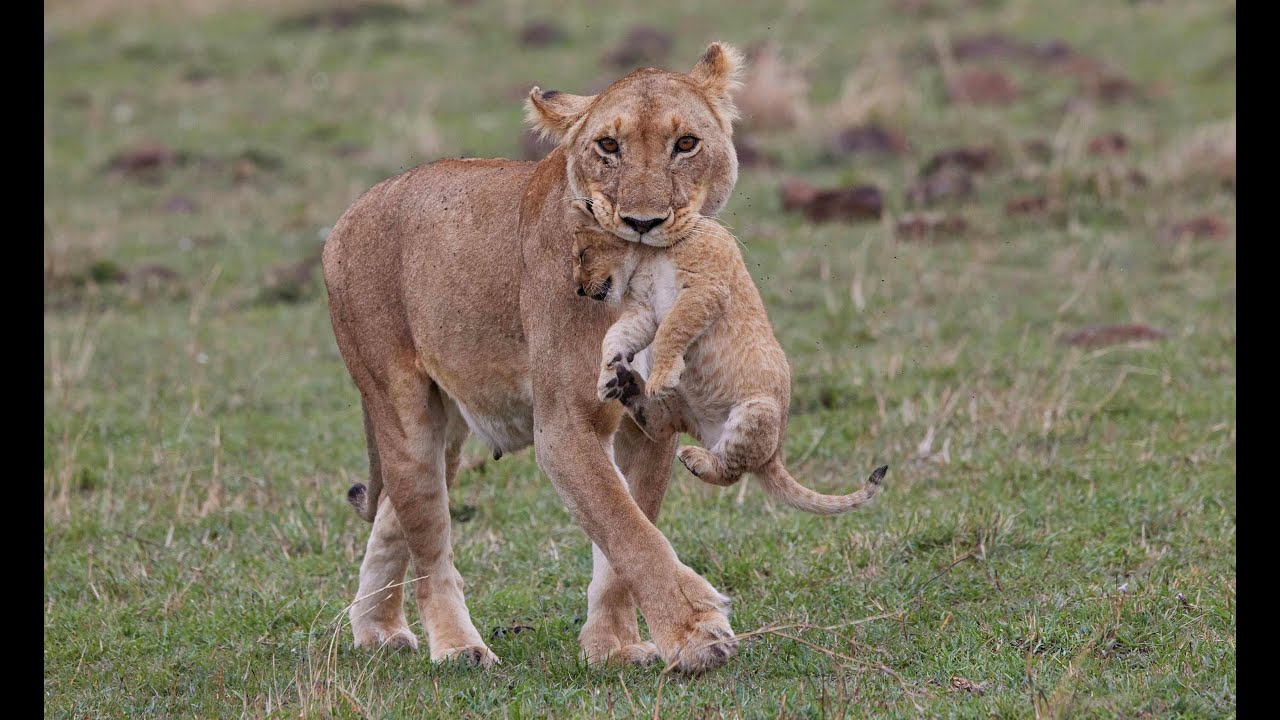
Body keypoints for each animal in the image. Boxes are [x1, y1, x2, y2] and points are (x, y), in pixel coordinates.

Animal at [322, 43, 747, 673]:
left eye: (686, 144)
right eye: (608, 146)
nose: (643, 222)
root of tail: (351, 211)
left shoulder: (650, 421)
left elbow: (626, 532)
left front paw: (613, 646)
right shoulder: (565, 425)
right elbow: (630, 531)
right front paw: (696, 634)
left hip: (448, 425)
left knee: (390, 521)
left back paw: (376, 631)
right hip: (401, 410)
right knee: (428, 542)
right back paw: (458, 649)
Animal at [570, 222, 889, 512]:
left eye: (583, 254)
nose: (579, 289)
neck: (647, 256)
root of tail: (775, 454)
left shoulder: (706, 287)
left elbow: (671, 329)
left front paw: (660, 377)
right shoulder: (644, 310)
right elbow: (617, 334)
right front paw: (607, 376)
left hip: (756, 411)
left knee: (731, 472)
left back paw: (697, 459)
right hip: (686, 410)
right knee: (663, 425)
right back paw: (627, 385)